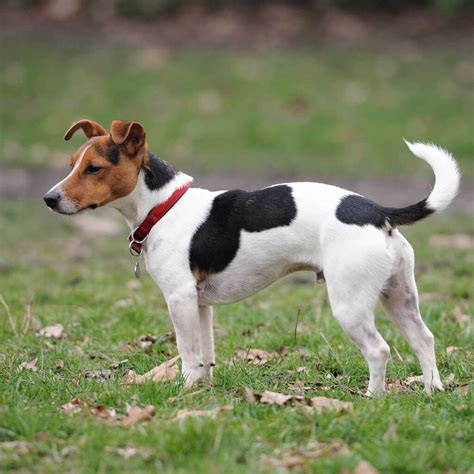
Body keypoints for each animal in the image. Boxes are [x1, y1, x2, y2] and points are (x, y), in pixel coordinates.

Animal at [43, 119, 460, 396]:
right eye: (72, 164)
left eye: (94, 168)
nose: (49, 199)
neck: (164, 206)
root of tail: (379, 212)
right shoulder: (200, 304)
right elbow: (206, 353)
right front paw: (203, 391)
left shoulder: (179, 298)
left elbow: (187, 352)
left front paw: (185, 390)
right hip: (399, 296)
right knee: (424, 339)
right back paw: (432, 390)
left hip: (350, 304)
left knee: (379, 350)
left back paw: (373, 398)